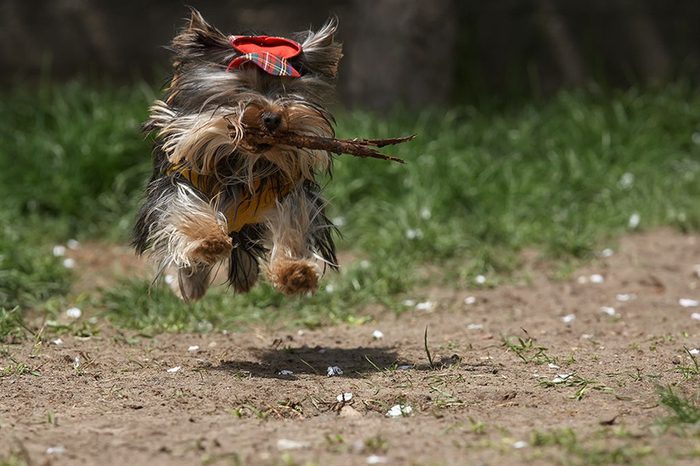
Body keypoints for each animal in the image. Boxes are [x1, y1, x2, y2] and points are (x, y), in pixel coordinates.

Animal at [133, 10, 342, 304]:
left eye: (288, 91)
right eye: (242, 88)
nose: (272, 118)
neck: (243, 162)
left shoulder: (289, 189)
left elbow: (293, 220)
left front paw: (295, 272)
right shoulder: (179, 181)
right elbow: (183, 207)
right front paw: (209, 242)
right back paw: (192, 285)